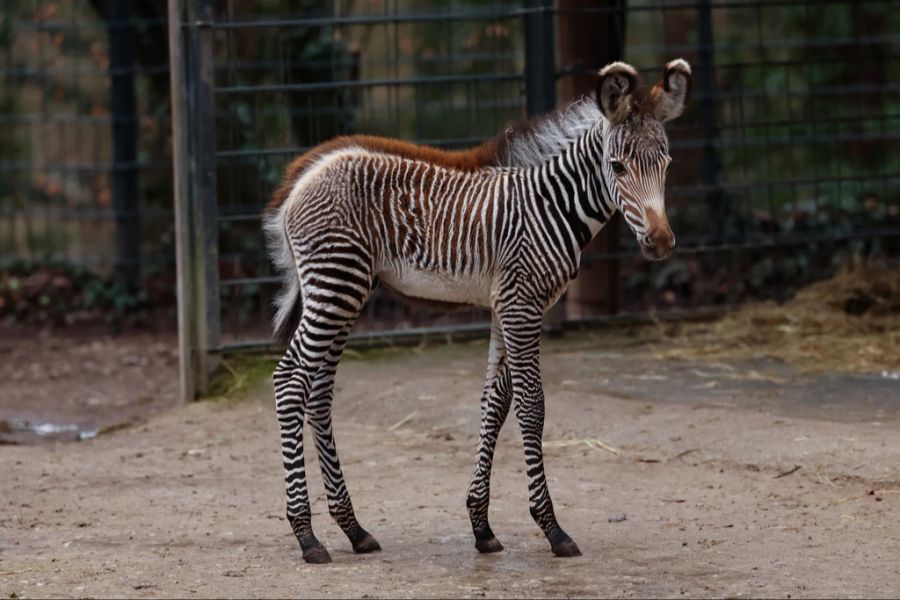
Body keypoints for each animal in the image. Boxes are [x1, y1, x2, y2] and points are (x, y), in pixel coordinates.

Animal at [264, 59, 692, 564]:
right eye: (618, 166)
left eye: (666, 165)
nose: (660, 243)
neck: (553, 207)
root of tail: (304, 174)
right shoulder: (522, 304)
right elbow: (531, 406)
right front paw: (552, 529)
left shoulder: (503, 306)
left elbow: (495, 404)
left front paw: (481, 526)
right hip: (335, 284)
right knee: (290, 380)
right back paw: (307, 535)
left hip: (343, 290)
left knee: (319, 393)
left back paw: (353, 529)